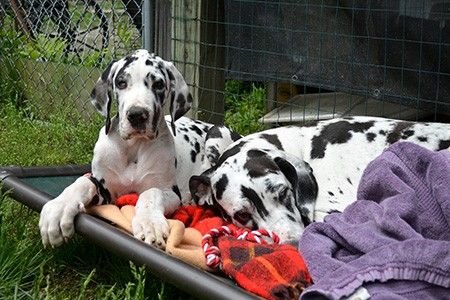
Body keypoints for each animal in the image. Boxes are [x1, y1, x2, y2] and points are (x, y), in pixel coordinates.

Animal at [39, 49, 213, 251]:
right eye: (121, 83)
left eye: (158, 84)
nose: (137, 115)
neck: (133, 148)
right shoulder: (106, 192)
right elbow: (83, 182)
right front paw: (58, 209)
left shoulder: (170, 191)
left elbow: (150, 192)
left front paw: (149, 223)